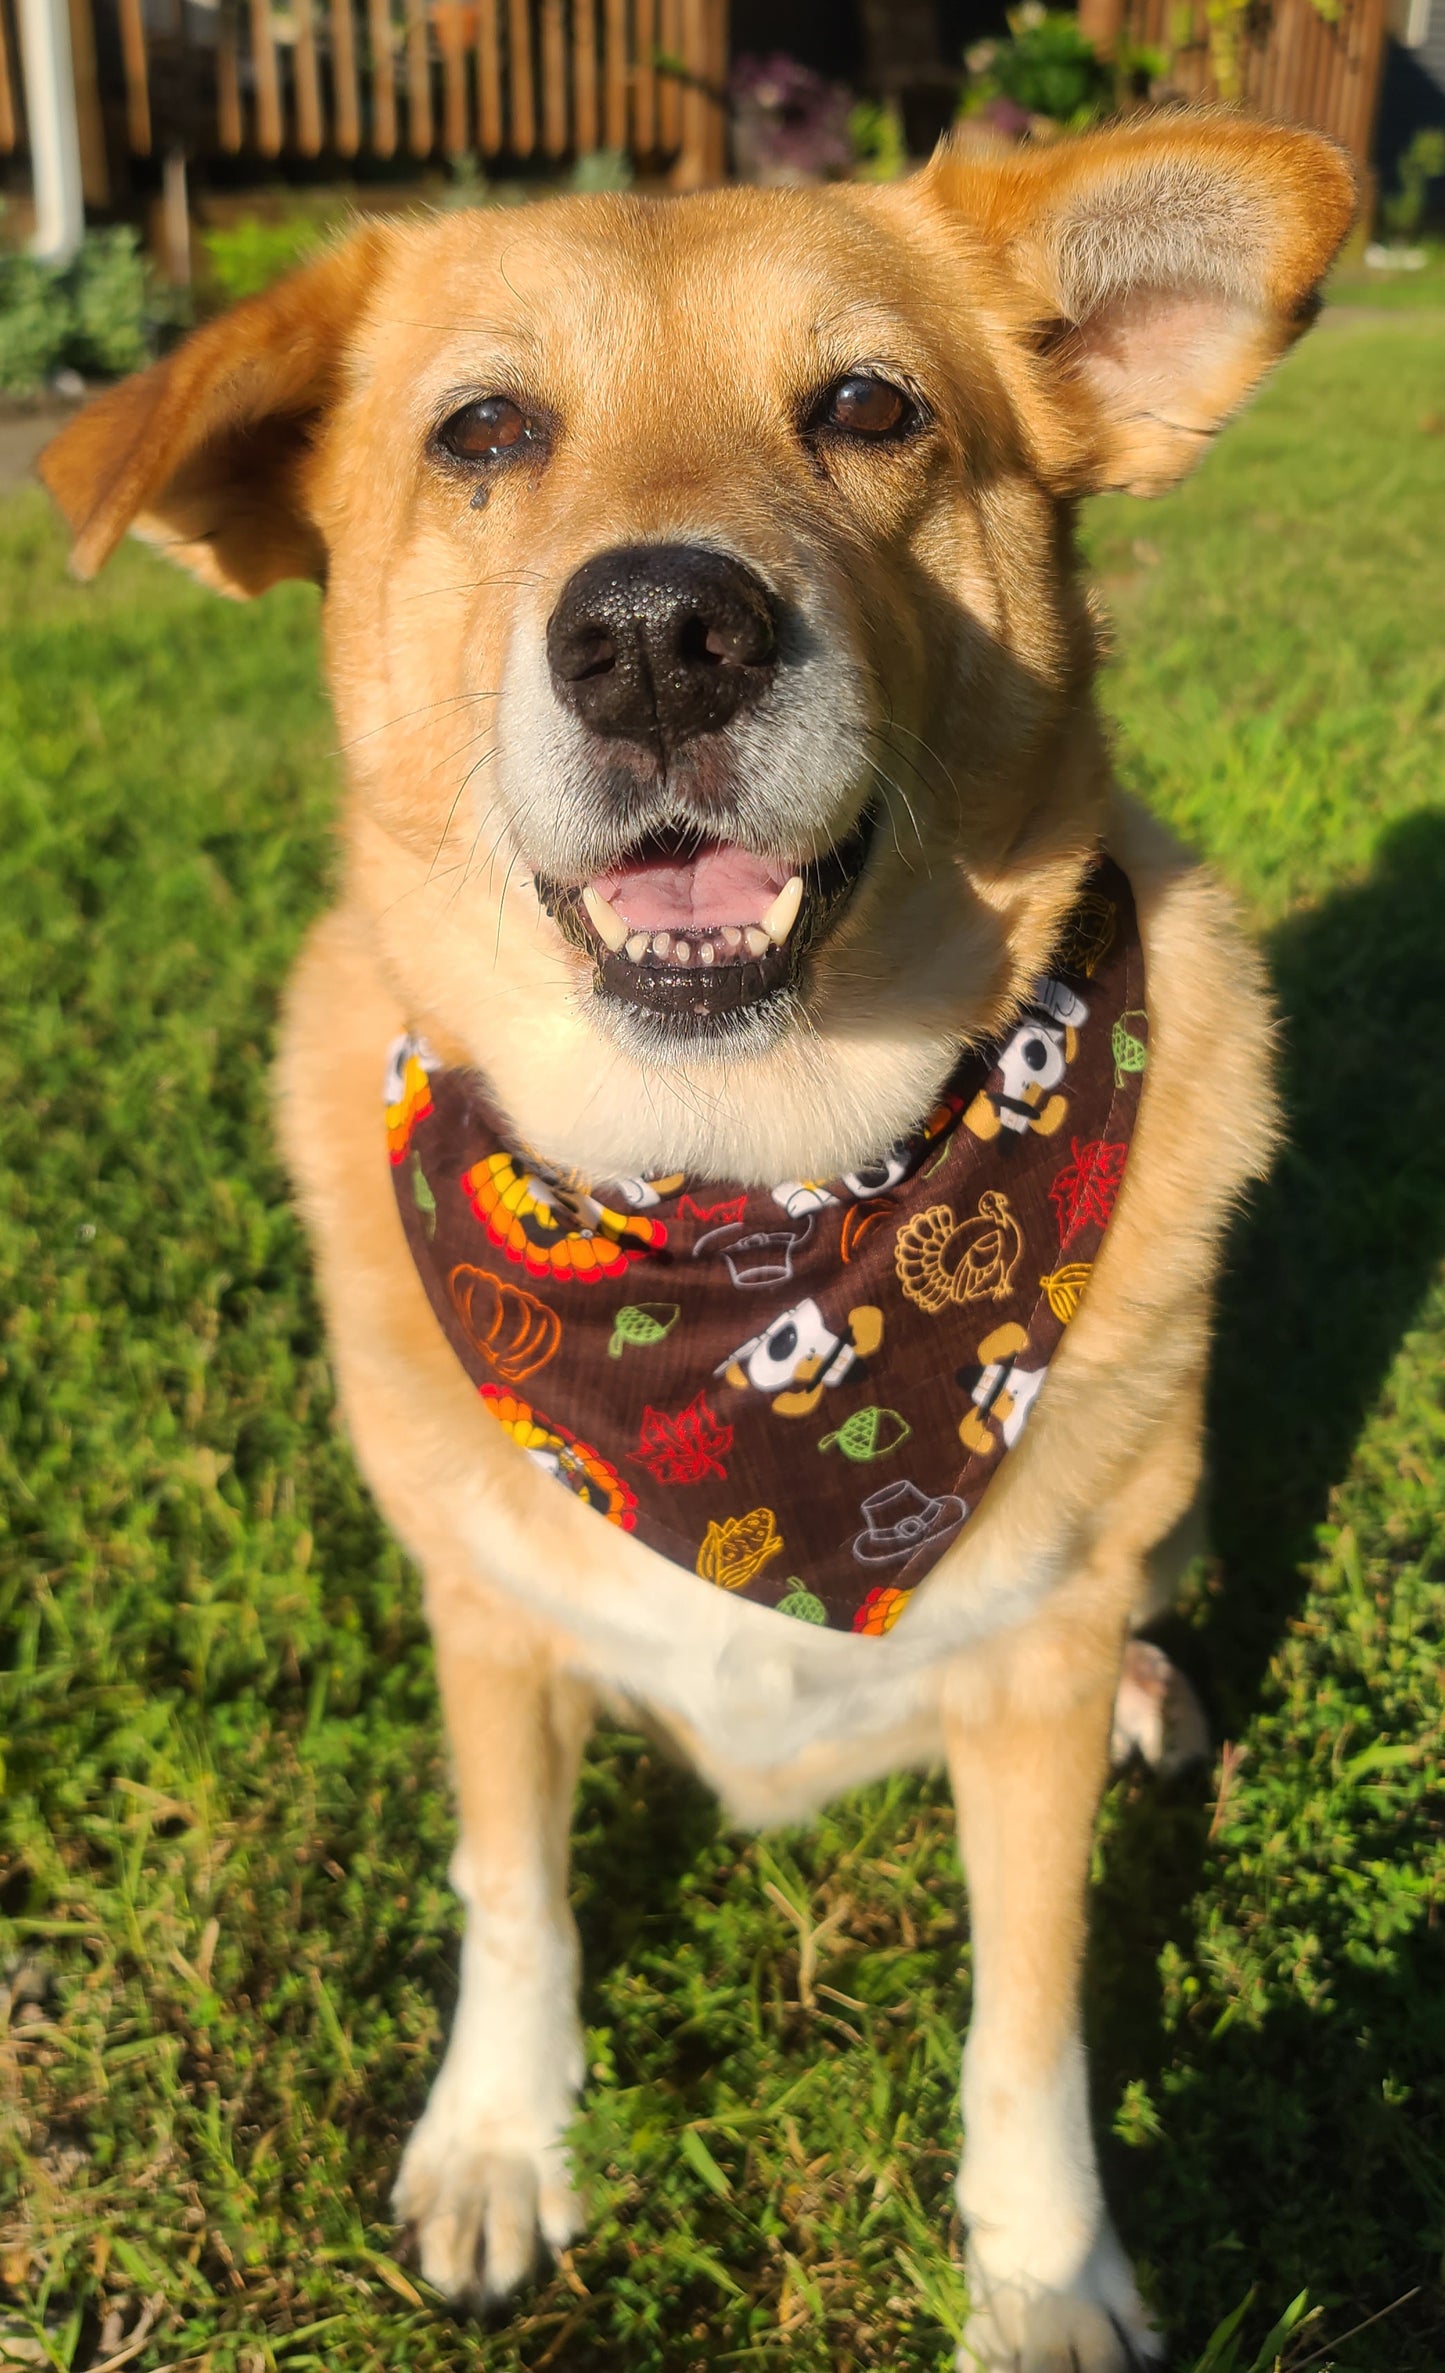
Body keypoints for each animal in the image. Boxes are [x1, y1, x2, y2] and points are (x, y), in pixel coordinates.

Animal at [42, 120, 1347, 2373]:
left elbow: (1026, 2017)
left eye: (869, 406)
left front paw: (1039, 2274)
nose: (659, 634)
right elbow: (513, 1890)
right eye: (481, 429)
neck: (742, 1221)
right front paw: (499, 2136)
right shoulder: (486, 1621)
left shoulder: (1019, 1708)